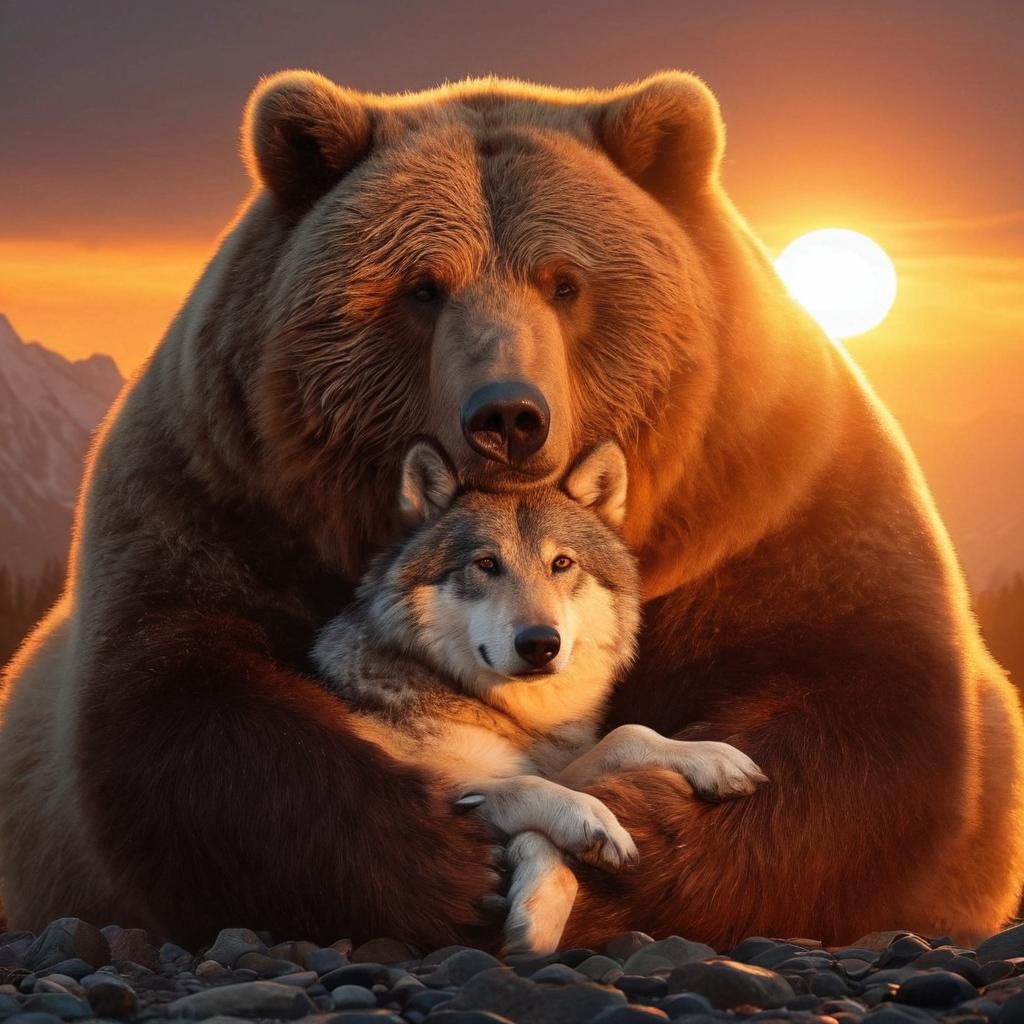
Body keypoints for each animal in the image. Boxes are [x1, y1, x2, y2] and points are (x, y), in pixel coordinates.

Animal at [1, 70, 1022, 952]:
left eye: (566, 282)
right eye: (421, 286)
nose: (507, 417)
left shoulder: (775, 499)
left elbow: (860, 718)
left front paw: (673, 800)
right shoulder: (215, 496)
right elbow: (196, 728)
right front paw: (467, 865)